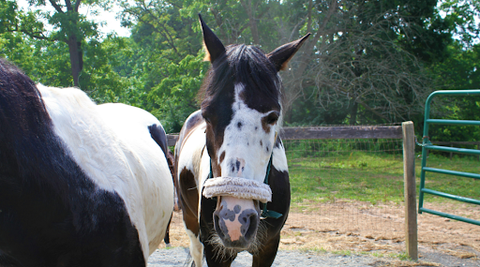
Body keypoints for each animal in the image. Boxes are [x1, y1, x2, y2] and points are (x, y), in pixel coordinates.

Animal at [174, 15, 310, 266]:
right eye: (207, 114)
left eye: (273, 116)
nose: (235, 220)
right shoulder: (215, 250)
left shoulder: (268, 247)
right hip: (189, 222)